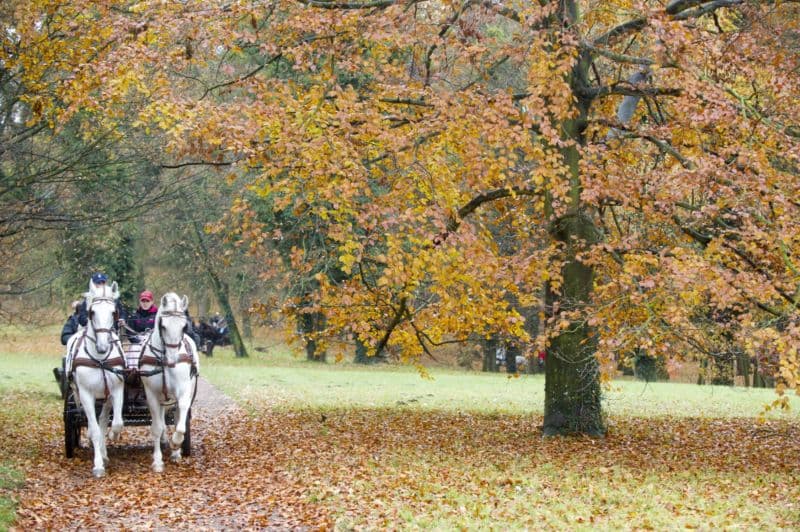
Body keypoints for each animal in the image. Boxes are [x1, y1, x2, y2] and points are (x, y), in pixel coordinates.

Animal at [65, 278, 125, 478]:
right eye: (92, 312)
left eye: (114, 312)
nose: (102, 346)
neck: (100, 359)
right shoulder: (85, 395)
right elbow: (95, 429)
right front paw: (98, 465)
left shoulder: (117, 390)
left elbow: (116, 423)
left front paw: (113, 436)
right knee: (93, 424)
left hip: (106, 397)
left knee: (104, 420)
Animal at [139, 294, 198, 472]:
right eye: (163, 326)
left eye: (184, 326)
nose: (172, 360)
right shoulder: (152, 395)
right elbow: (157, 428)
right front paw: (157, 461)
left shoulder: (183, 391)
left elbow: (180, 423)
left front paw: (176, 443)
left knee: (177, 416)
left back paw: (176, 452)